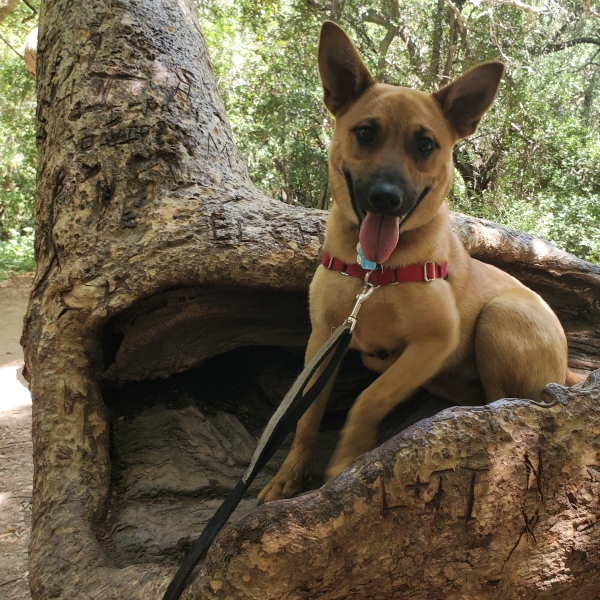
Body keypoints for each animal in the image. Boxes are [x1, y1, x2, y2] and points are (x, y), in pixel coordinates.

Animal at [258, 21, 576, 504]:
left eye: (425, 144)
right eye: (365, 133)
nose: (385, 198)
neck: (373, 273)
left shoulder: (435, 340)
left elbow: (367, 399)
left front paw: (346, 459)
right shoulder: (322, 340)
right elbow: (306, 415)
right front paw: (289, 475)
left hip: (500, 317)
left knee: (507, 403)